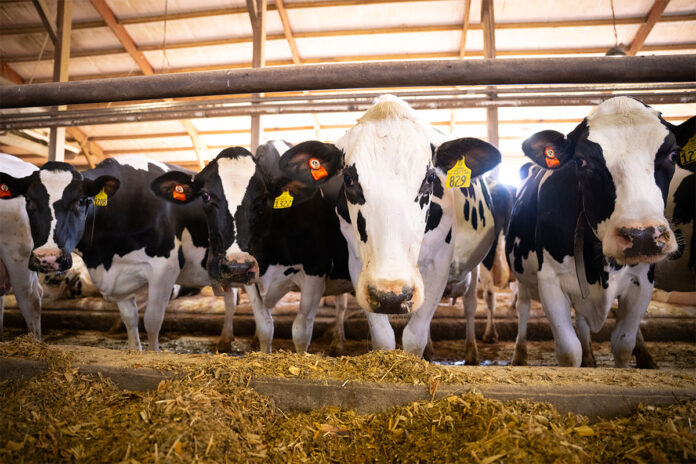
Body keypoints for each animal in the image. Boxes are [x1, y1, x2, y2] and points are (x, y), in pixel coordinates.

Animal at [0, 155, 238, 351]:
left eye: (81, 200)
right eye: (28, 200)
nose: (47, 258)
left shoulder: (165, 267)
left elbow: (152, 321)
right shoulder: (120, 277)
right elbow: (130, 320)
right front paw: (135, 351)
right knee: (231, 296)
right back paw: (225, 340)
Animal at [150, 140, 353, 354]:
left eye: (263, 198)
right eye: (205, 196)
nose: (236, 266)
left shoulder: (316, 271)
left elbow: (301, 332)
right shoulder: (252, 276)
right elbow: (265, 327)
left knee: (341, 304)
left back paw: (338, 343)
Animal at [278, 94, 501, 357]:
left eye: (430, 178)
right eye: (348, 179)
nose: (392, 296)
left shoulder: (439, 263)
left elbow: (415, 335)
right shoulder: (358, 265)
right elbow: (383, 337)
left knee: (471, 303)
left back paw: (471, 351)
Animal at [506, 97, 681, 368]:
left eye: (673, 154)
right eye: (581, 161)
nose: (642, 236)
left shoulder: (642, 280)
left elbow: (623, 344)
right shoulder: (550, 280)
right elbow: (569, 350)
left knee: (582, 320)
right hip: (522, 274)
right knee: (523, 308)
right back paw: (519, 355)